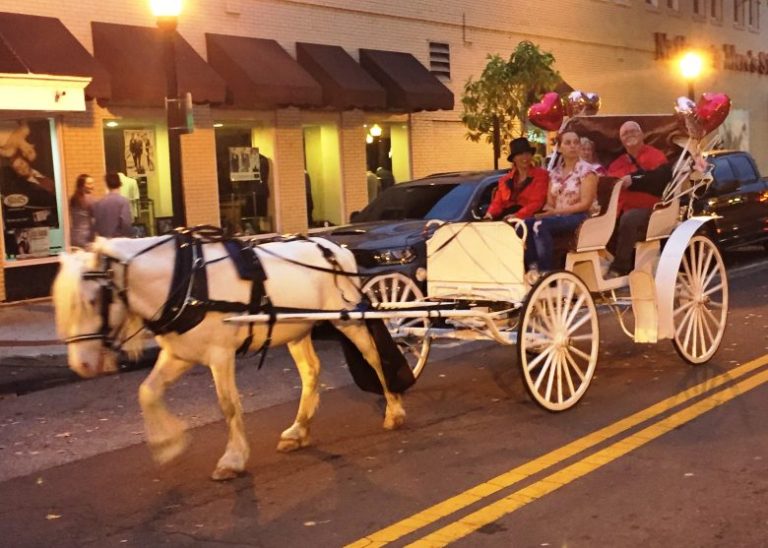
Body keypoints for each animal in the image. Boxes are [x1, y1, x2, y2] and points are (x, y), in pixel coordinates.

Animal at [52, 235, 408, 480]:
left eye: (92, 300)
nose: (80, 365)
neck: (186, 282)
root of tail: (336, 248)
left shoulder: (220, 354)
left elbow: (229, 405)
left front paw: (233, 459)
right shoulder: (179, 353)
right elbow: (148, 391)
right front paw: (169, 442)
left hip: (347, 319)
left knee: (374, 356)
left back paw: (394, 410)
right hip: (297, 328)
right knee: (311, 372)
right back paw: (298, 430)